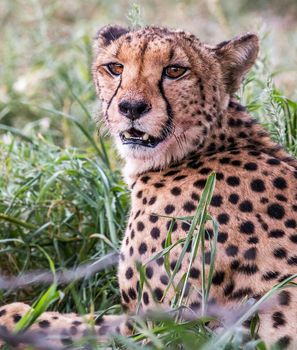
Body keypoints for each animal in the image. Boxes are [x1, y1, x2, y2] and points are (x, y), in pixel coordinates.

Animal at [0, 26, 296, 348]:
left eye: (175, 71)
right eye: (115, 68)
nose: (131, 107)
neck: (201, 148)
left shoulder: (165, 328)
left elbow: (76, 324)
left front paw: (13, 315)